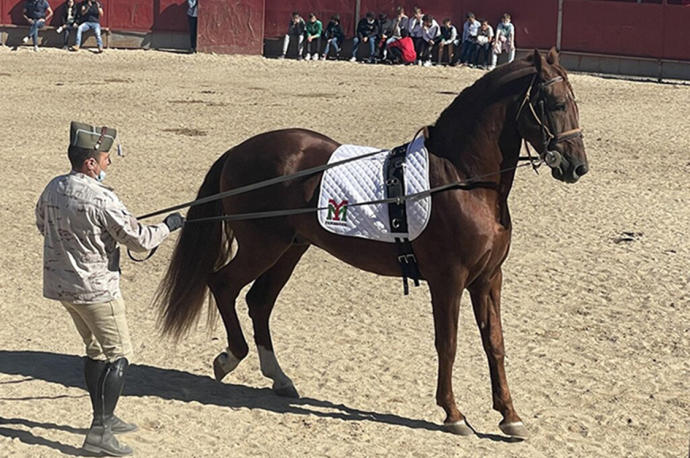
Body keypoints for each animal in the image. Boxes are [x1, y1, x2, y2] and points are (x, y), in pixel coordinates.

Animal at [155, 48, 584, 438]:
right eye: (556, 103)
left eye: (575, 104)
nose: (577, 166)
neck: (461, 179)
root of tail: (239, 150)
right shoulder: (448, 280)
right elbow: (448, 343)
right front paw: (453, 414)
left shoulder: (488, 279)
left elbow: (494, 343)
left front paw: (510, 416)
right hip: (264, 247)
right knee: (223, 284)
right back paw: (230, 358)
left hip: (290, 248)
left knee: (259, 301)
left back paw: (279, 377)